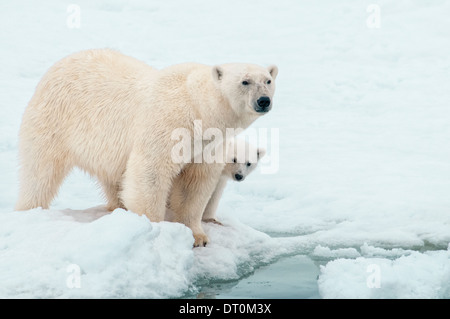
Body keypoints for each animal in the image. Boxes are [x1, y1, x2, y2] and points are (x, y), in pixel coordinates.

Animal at [15, 48, 276, 246]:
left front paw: (198, 236)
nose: (264, 101)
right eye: (245, 81)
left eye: (268, 80)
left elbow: (194, 185)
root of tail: (59, 65)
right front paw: (154, 228)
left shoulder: (208, 144)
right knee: (40, 172)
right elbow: (150, 173)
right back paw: (30, 209)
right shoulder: (167, 125)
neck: (197, 107)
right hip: (54, 119)